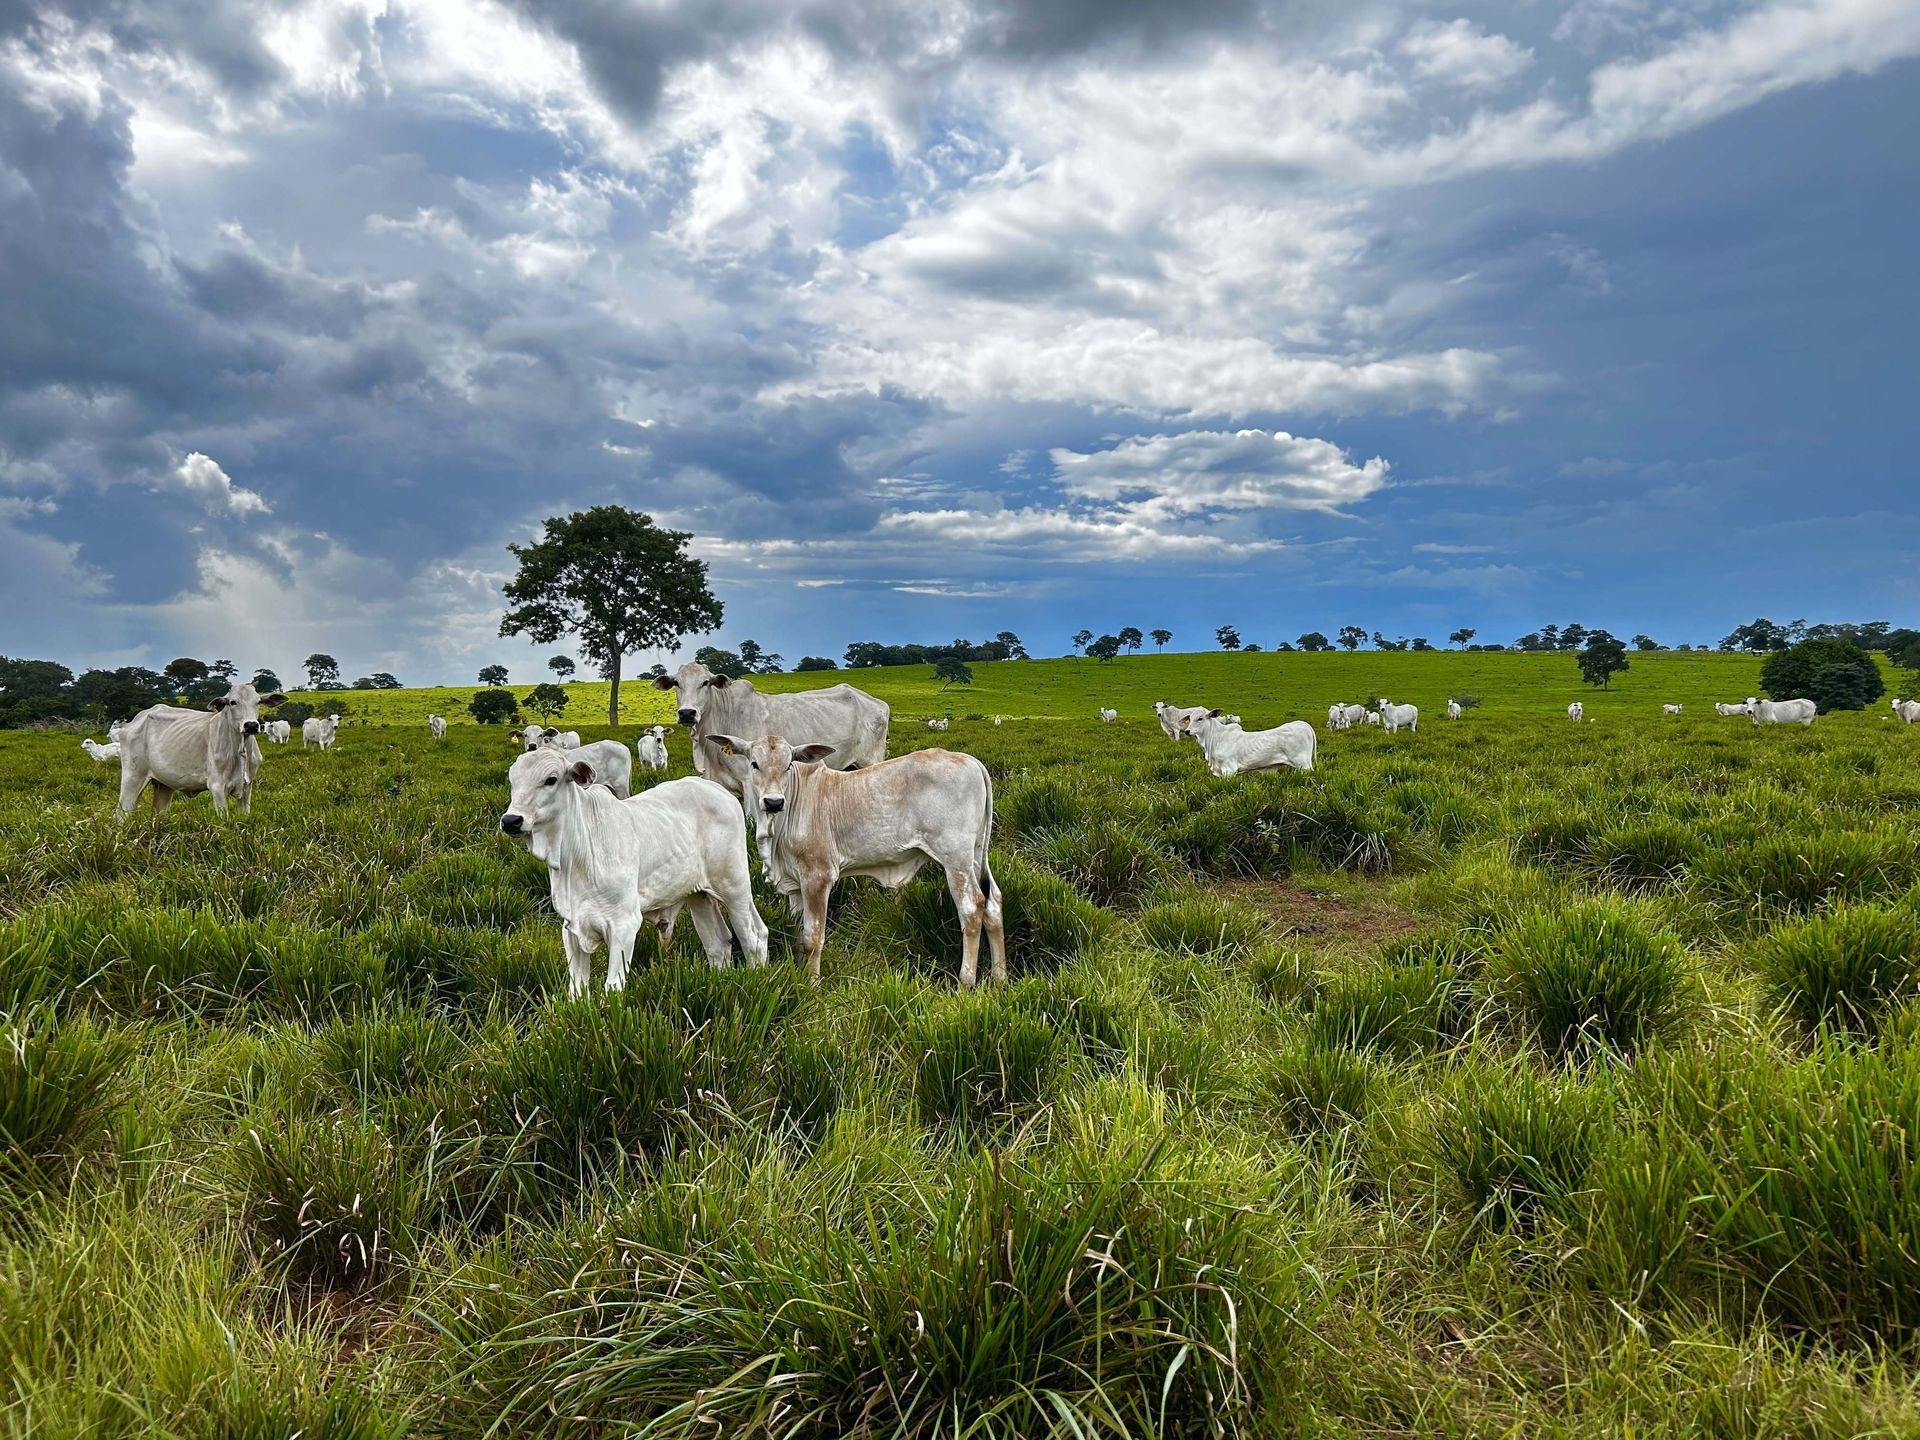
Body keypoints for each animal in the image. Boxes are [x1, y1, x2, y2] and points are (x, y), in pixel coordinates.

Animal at [115, 682, 287, 817]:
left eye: (258, 702)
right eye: (233, 702)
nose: (251, 725)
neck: (241, 749)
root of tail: (135, 720)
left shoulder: (247, 787)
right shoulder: (217, 787)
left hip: (163, 785)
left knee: (157, 812)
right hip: (133, 777)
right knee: (121, 813)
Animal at [499, 751, 767, 994]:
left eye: (551, 779)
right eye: (512, 781)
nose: (511, 820)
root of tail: (720, 792)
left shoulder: (624, 924)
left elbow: (613, 987)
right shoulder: (571, 928)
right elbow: (577, 991)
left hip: (734, 886)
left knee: (754, 936)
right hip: (698, 894)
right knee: (717, 943)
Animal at [653, 662, 889, 800]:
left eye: (705, 682)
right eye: (676, 683)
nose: (687, 713)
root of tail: (877, 702)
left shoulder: (750, 783)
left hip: (870, 762)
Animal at [708, 733, 1004, 986]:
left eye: (788, 764)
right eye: (754, 764)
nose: (773, 802)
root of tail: (971, 761)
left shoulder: (818, 877)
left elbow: (813, 938)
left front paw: (812, 985)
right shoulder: (795, 885)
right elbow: (799, 937)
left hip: (956, 859)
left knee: (972, 907)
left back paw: (966, 982)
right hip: (976, 854)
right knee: (993, 903)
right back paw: (999, 978)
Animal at [1181, 710, 1315, 776]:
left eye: (1200, 718)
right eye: (1189, 719)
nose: (1187, 731)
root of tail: (1303, 724)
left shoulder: (1229, 770)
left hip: (1303, 764)